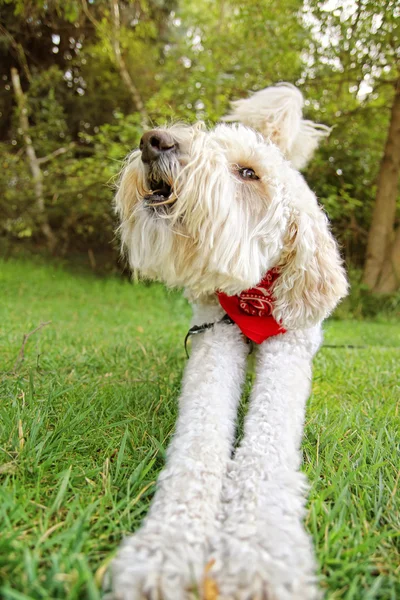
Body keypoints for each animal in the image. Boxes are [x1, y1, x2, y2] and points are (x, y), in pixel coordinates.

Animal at [108, 84, 346, 600]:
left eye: (248, 173)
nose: (153, 141)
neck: (253, 296)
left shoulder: (287, 357)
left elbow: (266, 450)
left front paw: (259, 552)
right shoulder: (214, 343)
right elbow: (198, 443)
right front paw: (166, 546)